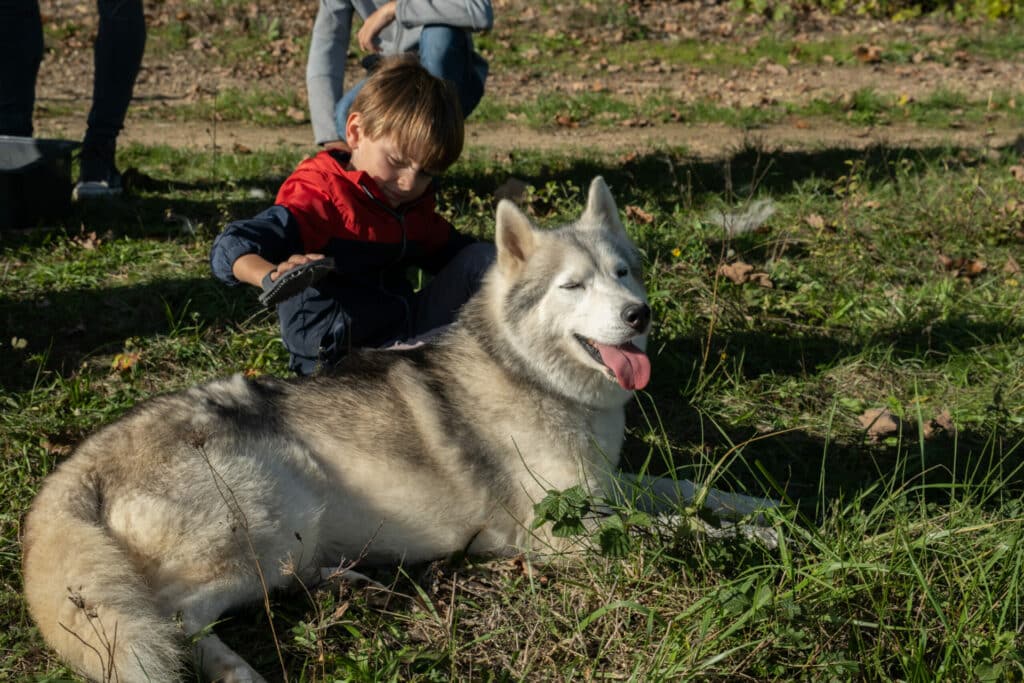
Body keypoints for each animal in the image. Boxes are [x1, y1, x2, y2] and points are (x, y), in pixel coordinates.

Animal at [22, 178, 770, 683]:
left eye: (622, 272)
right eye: (573, 287)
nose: (639, 314)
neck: (536, 379)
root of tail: (77, 465)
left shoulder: (608, 484)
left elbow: (693, 491)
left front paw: (763, 512)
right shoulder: (560, 531)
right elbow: (676, 530)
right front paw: (754, 538)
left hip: (287, 541)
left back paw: (345, 582)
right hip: (269, 523)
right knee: (173, 618)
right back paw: (240, 670)